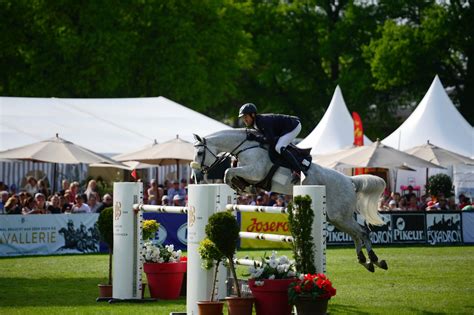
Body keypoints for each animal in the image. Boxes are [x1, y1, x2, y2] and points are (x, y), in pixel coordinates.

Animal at [192, 128, 388, 272]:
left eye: (200, 152)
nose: (197, 176)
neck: (246, 147)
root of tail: (350, 180)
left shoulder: (255, 171)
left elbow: (227, 172)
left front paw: (244, 188)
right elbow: (230, 175)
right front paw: (244, 188)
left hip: (340, 215)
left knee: (362, 231)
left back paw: (376, 260)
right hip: (336, 218)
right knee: (356, 234)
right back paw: (366, 262)